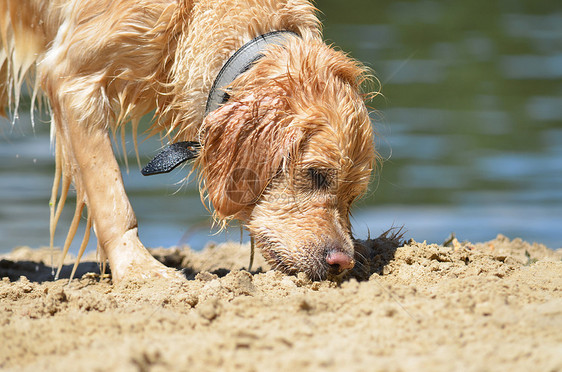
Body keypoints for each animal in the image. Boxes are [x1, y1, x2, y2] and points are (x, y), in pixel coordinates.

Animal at [1, 0, 376, 284]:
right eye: (315, 174)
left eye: (353, 197)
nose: (343, 262)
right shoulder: (72, 80)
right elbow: (112, 200)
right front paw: (140, 272)